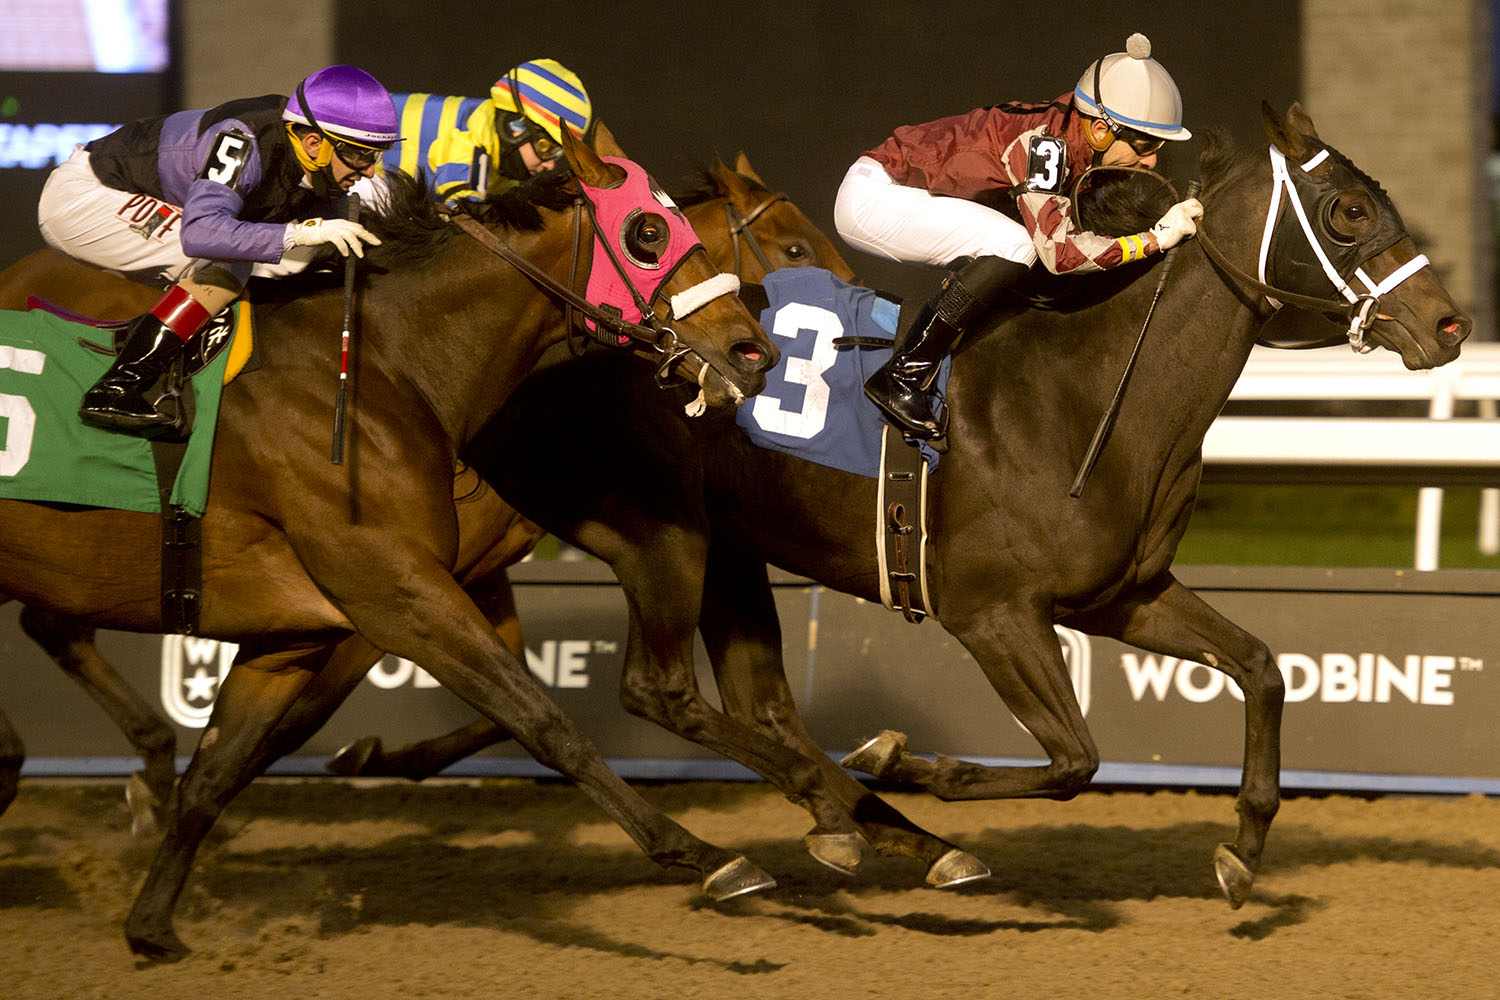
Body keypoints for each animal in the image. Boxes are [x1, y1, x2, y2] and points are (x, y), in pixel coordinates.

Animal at [0, 128, 786, 959]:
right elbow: (545, 722)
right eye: (648, 233)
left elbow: (215, 774)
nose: (752, 352)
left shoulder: (294, 635)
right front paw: (708, 856)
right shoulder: (401, 596)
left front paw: (151, 926)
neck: (378, 367)